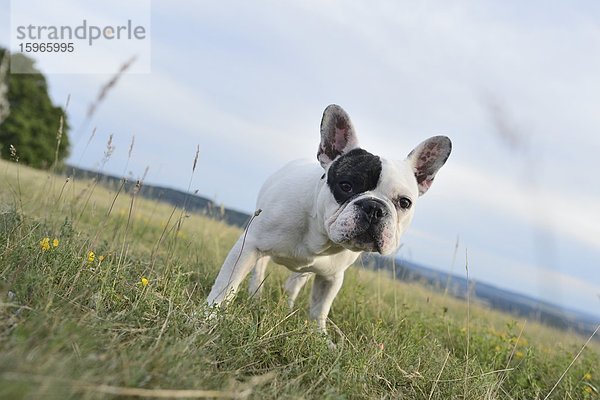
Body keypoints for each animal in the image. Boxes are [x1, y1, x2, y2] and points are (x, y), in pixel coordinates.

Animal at [206, 104, 450, 332]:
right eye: (346, 185)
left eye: (404, 203)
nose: (374, 208)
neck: (319, 232)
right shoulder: (249, 246)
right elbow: (226, 286)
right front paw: (209, 318)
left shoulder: (332, 277)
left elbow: (320, 308)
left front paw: (320, 337)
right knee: (259, 271)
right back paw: (255, 296)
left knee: (294, 285)